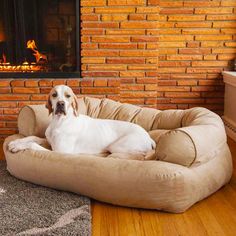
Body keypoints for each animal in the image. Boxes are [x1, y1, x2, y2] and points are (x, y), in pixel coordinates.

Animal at [8, 85, 156, 159]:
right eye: (54, 95)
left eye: (68, 96)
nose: (61, 104)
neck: (60, 121)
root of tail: (148, 137)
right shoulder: (49, 141)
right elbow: (34, 137)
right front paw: (16, 142)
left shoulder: (60, 152)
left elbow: (33, 144)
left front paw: (18, 146)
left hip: (117, 146)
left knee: (140, 155)